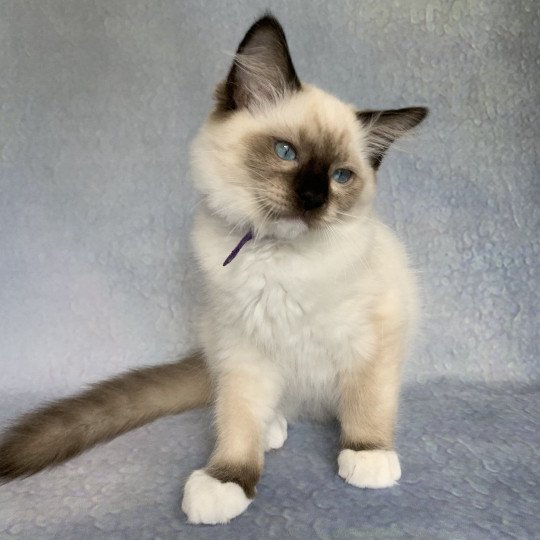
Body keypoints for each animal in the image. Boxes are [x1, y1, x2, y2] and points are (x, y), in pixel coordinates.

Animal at [2, 15, 428, 524]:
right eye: (286, 152)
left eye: (340, 177)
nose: (313, 199)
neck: (278, 259)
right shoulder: (243, 347)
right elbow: (238, 420)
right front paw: (227, 481)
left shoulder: (374, 339)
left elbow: (367, 402)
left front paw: (367, 455)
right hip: (220, 343)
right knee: (250, 403)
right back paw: (271, 429)